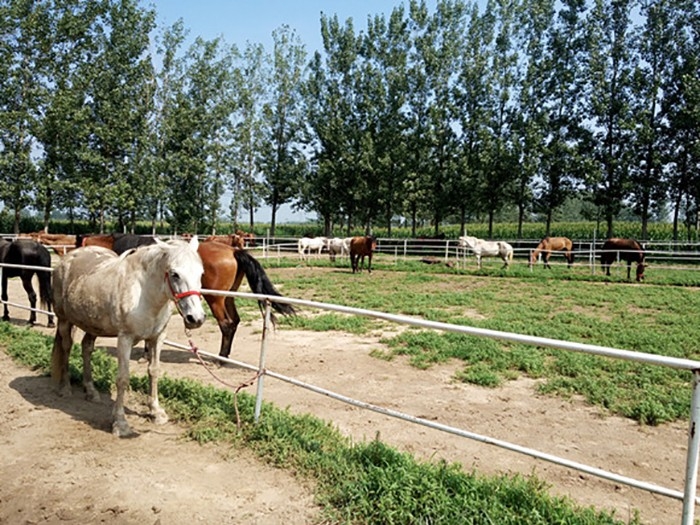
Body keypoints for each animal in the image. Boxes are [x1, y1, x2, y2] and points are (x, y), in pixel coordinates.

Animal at [51, 235, 205, 436]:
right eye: (175, 274)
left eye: (201, 273)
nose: (196, 318)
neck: (144, 294)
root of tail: (66, 259)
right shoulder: (125, 338)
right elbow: (122, 379)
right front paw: (120, 423)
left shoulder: (157, 338)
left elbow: (154, 371)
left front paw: (156, 412)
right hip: (64, 320)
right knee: (67, 347)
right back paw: (65, 388)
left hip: (92, 325)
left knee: (86, 348)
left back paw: (91, 391)